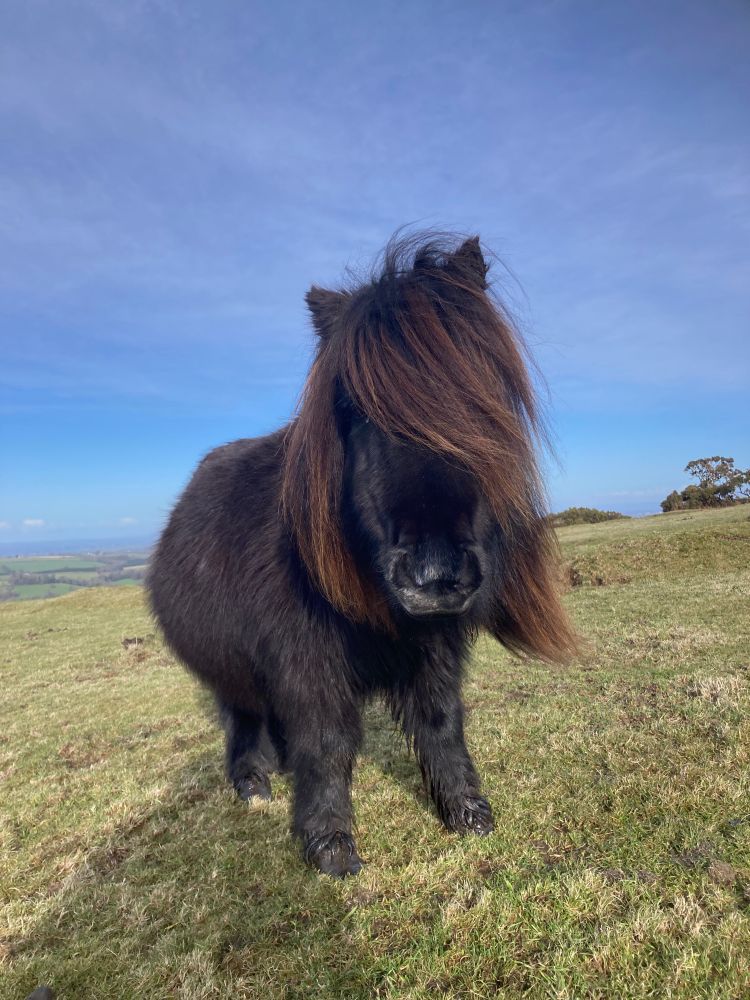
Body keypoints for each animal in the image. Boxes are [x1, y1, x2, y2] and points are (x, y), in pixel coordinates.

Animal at [147, 232, 577, 877]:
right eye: (353, 408)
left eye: (483, 396)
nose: (434, 574)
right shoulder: (307, 660)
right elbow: (327, 743)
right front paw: (330, 846)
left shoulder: (434, 650)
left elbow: (441, 724)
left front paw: (467, 812)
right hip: (230, 668)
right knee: (245, 716)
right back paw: (253, 783)